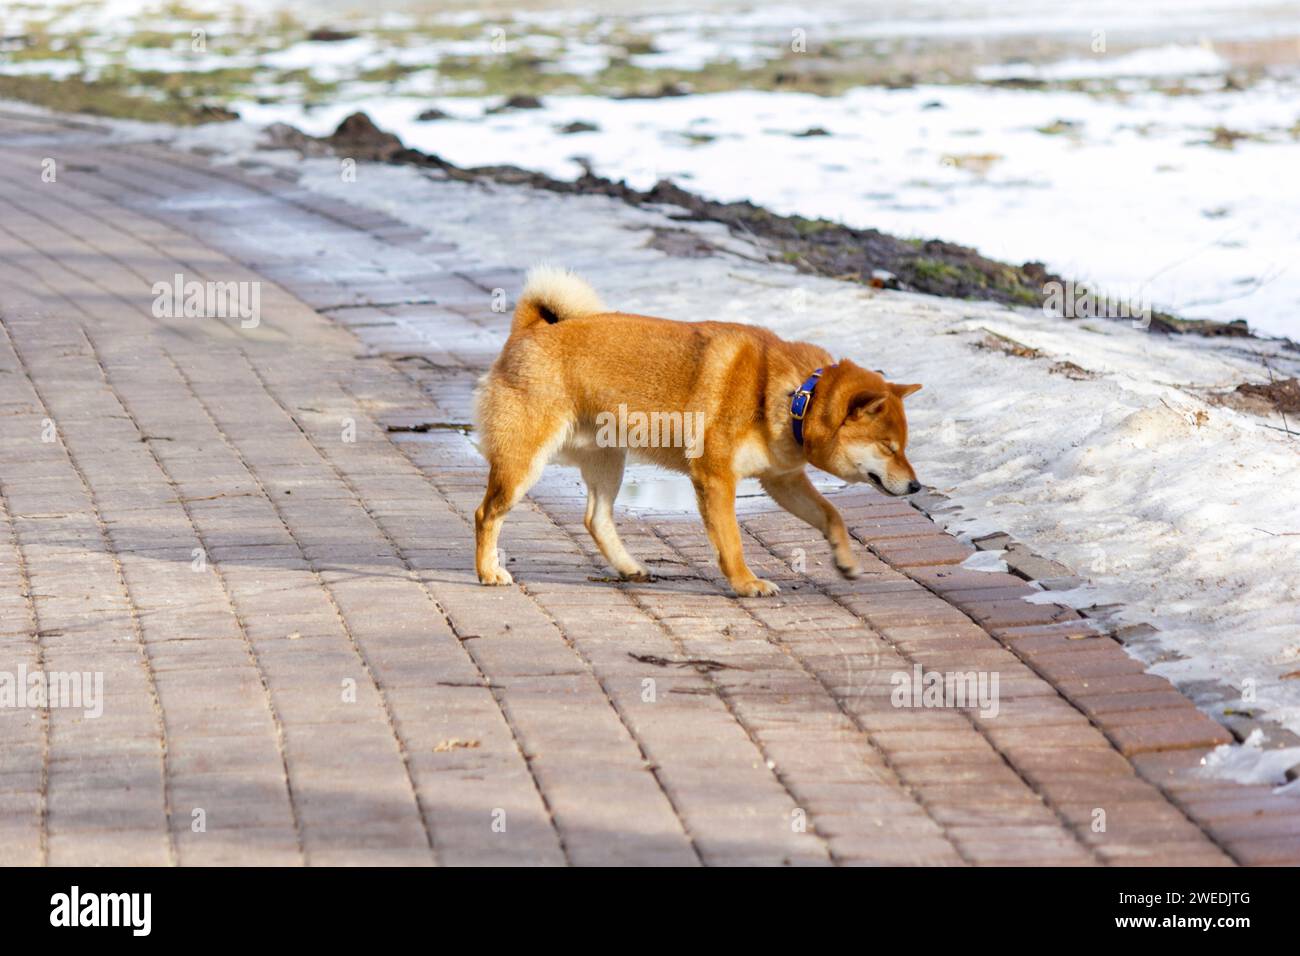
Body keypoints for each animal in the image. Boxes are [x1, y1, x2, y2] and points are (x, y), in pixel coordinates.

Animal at [473, 269, 920, 595]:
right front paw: (746, 583)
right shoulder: (716, 478)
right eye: (888, 447)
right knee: (486, 514)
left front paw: (845, 559)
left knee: (596, 520)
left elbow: (832, 516)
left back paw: (629, 568)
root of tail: (530, 329)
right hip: (523, 463)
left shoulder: (784, 481)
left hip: (608, 460)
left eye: (903, 447)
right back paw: (488, 572)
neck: (797, 396)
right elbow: (732, 541)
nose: (916, 486)